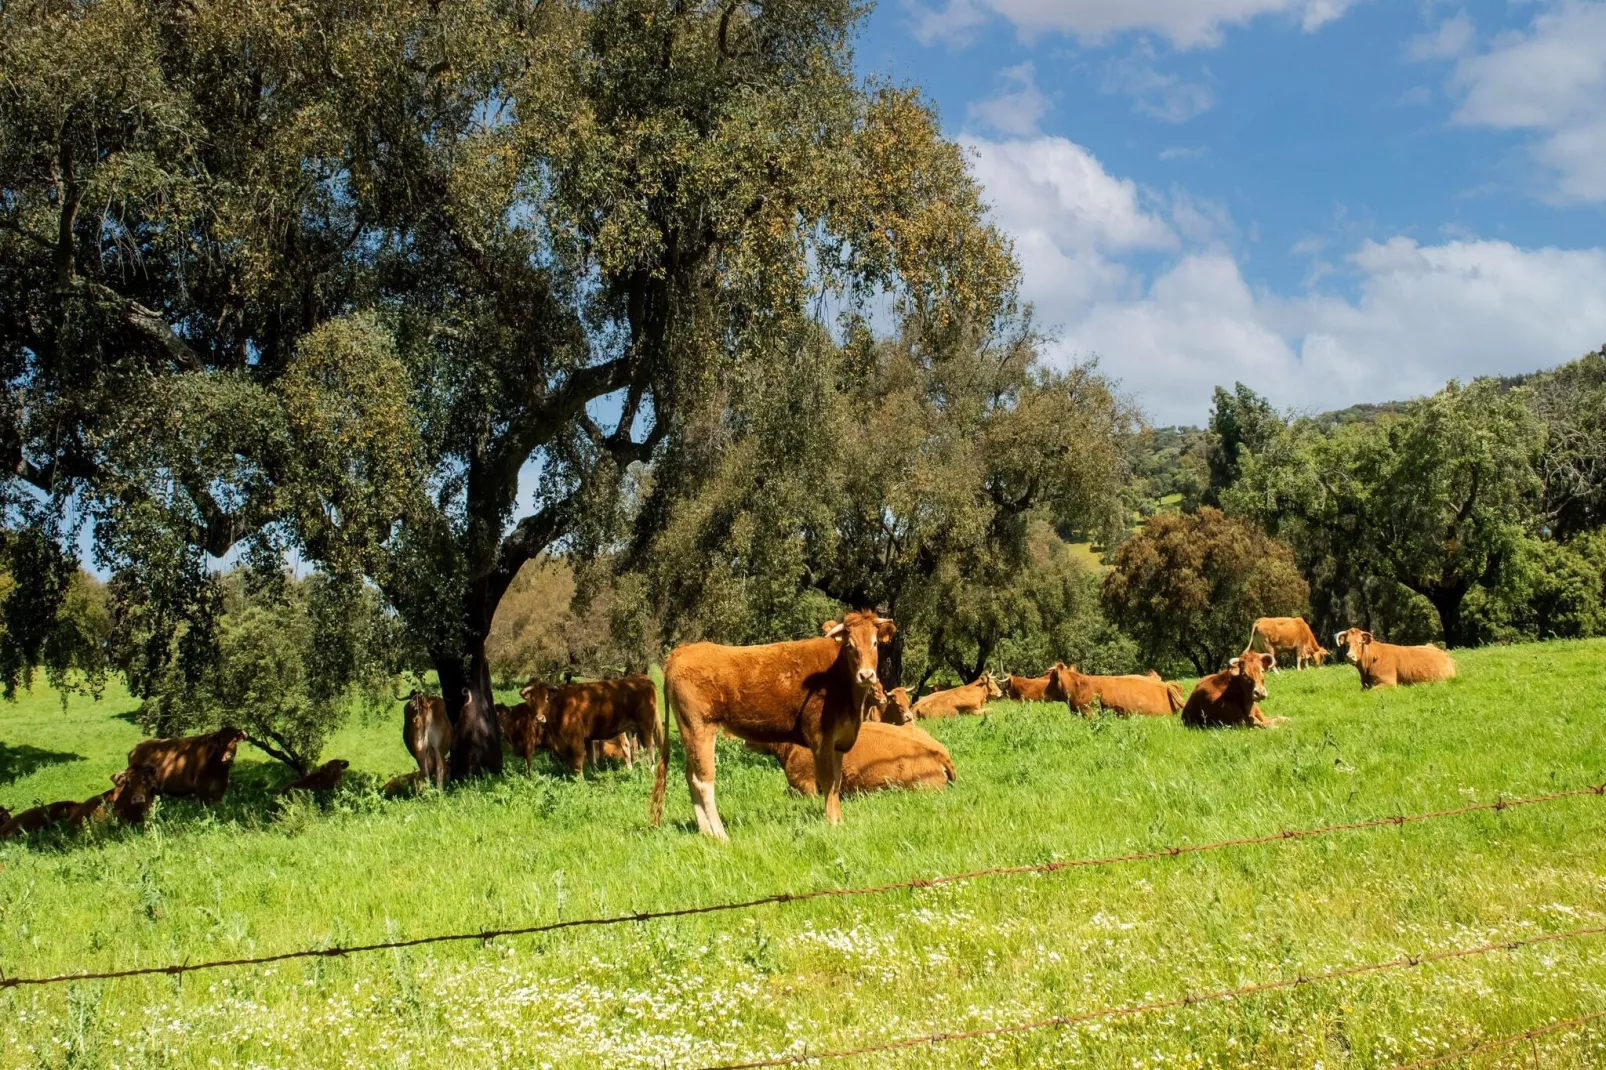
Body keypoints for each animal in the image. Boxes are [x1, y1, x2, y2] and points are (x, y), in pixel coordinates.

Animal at [520, 674, 658, 774]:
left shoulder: (576, 740)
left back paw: (650, 771)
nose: (539, 718)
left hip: (645, 727)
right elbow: (588, 760)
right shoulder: (583, 740)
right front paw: (593, 775)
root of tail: (644, 679)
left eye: (547, 698)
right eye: (532, 700)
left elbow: (578, 762)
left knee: (650, 747)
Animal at [655, 607, 905, 835]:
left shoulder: (839, 742)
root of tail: (684, 649)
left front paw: (839, 821)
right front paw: (831, 823)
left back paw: (705, 832)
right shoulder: (820, 738)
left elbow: (836, 782)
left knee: (690, 776)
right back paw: (720, 834)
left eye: (875, 643)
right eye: (850, 645)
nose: (866, 675)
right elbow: (827, 780)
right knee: (703, 780)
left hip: (690, 731)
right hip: (700, 727)